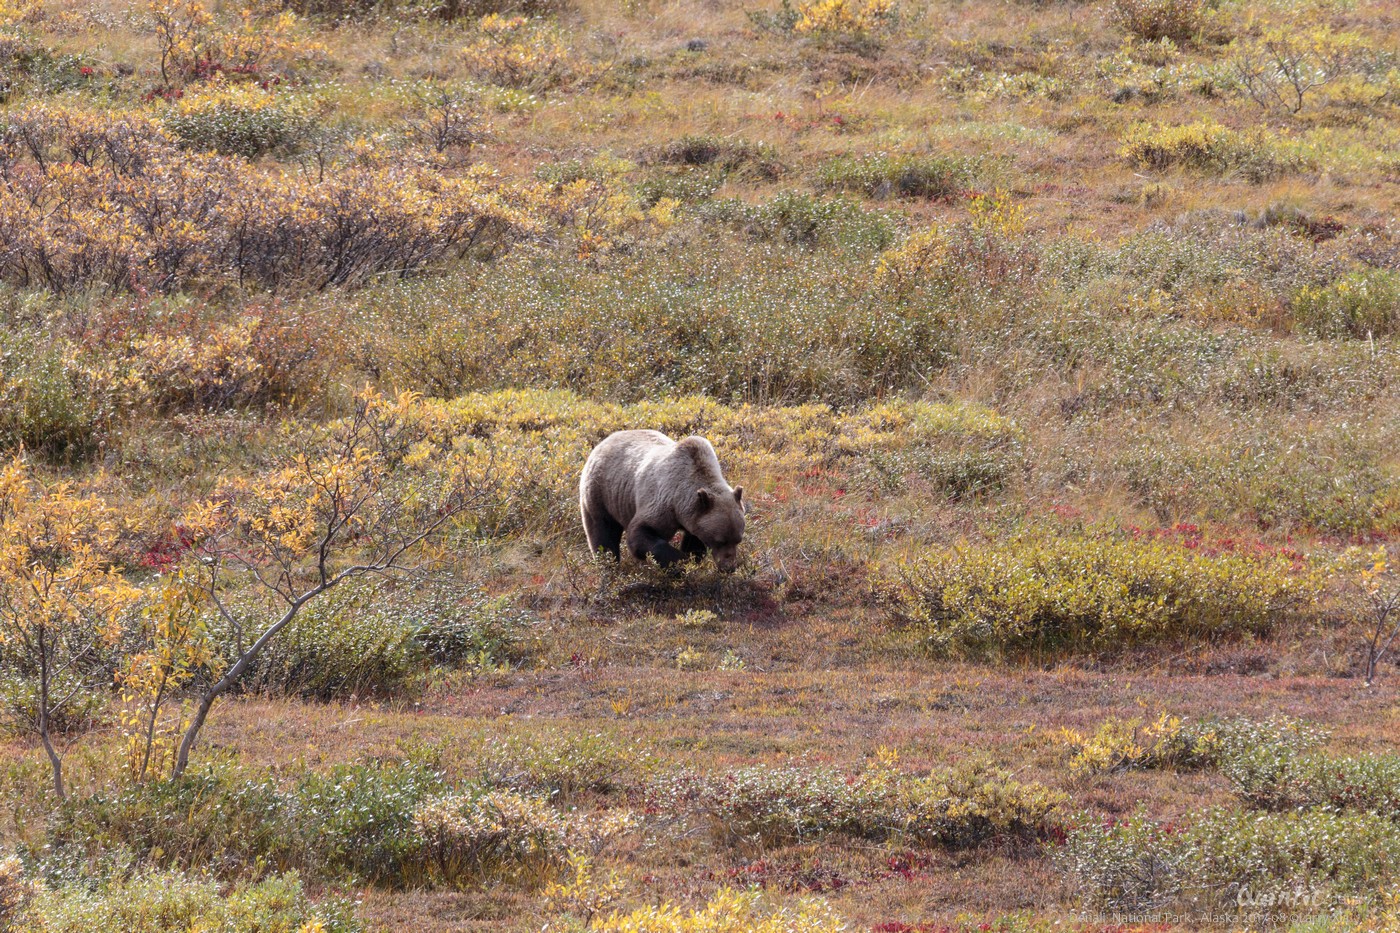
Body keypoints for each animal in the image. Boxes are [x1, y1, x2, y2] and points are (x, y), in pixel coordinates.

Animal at [582, 425, 750, 571]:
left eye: (738, 539)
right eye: (719, 540)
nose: (729, 567)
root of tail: (604, 441)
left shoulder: (693, 516)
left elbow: (694, 539)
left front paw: (691, 559)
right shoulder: (663, 503)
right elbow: (640, 534)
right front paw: (680, 562)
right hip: (600, 492)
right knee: (602, 531)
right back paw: (608, 565)